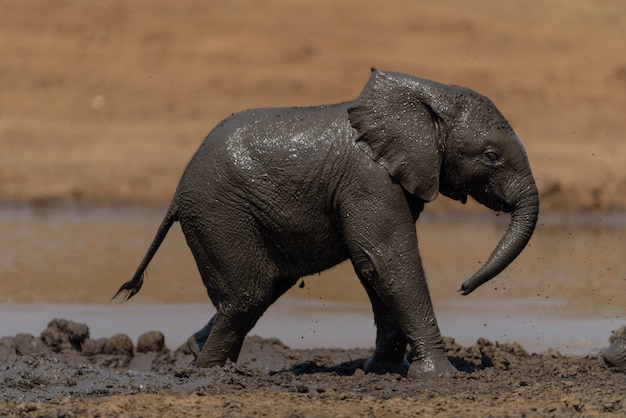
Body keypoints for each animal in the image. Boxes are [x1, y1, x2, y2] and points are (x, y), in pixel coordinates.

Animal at [114, 68, 540, 378]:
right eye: (490, 156)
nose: (464, 287)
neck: (427, 99)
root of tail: (176, 193)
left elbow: (373, 267)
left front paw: (384, 369)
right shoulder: (369, 179)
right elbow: (387, 259)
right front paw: (438, 376)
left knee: (263, 289)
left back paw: (195, 353)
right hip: (219, 213)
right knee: (248, 294)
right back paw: (209, 373)